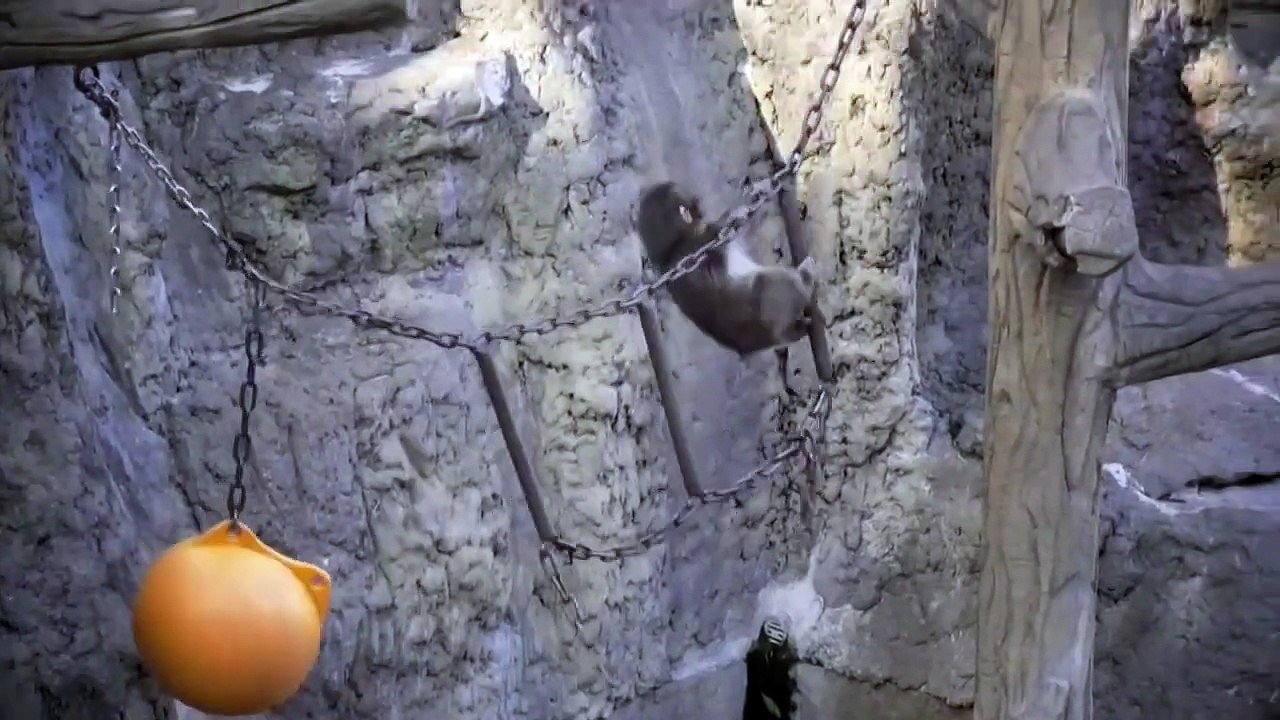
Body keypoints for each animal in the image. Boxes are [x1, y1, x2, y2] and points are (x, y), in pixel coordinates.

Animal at [634, 181, 817, 357]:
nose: (698, 197)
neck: (672, 249)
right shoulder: (707, 238)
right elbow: (732, 231)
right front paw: (746, 205)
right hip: (773, 304)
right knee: (773, 282)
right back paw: (806, 277)